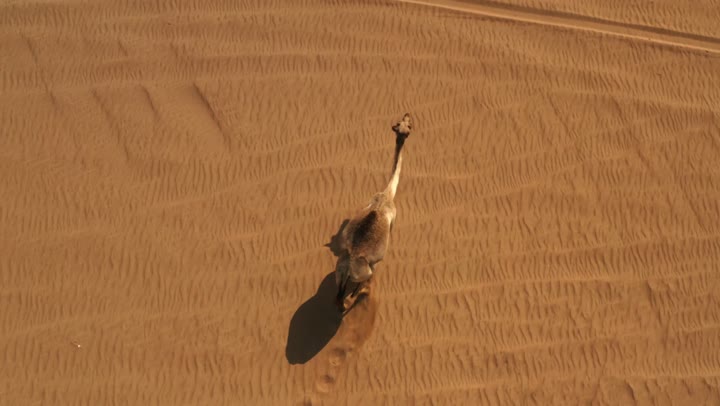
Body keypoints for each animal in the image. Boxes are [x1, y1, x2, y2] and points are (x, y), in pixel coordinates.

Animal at [335, 113, 412, 312]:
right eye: (408, 126)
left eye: (403, 122)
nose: (408, 114)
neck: (387, 194)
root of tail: (350, 265)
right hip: (365, 274)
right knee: (354, 294)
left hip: (339, 274)